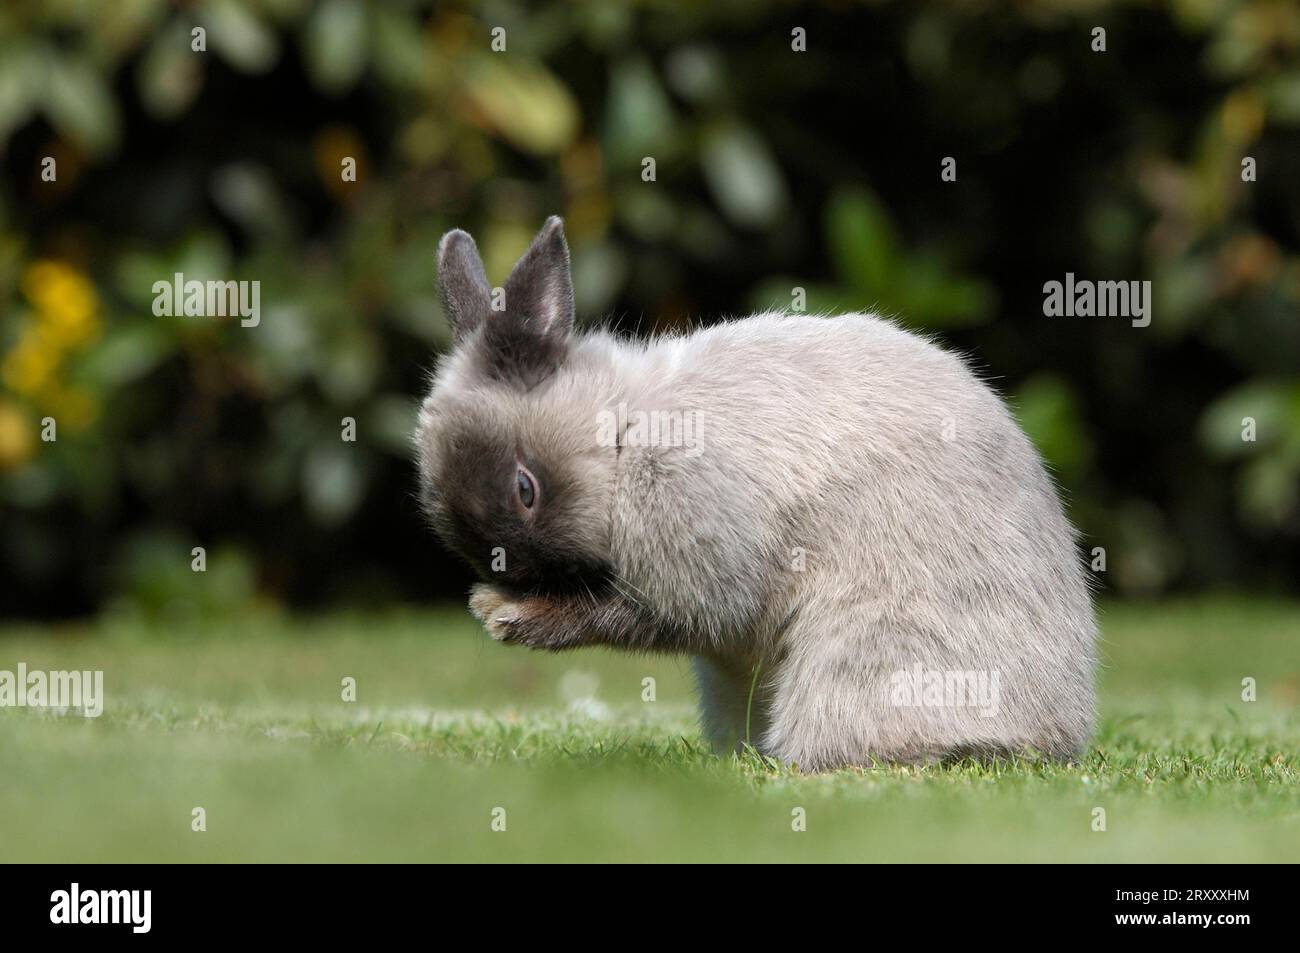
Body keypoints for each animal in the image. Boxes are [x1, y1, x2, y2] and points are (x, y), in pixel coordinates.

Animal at [414, 216, 1097, 771]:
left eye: (524, 489)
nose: (512, 578)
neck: (624, 433)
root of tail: (1064, 726)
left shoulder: (698, 560)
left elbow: (654, 616)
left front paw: (503, 615)